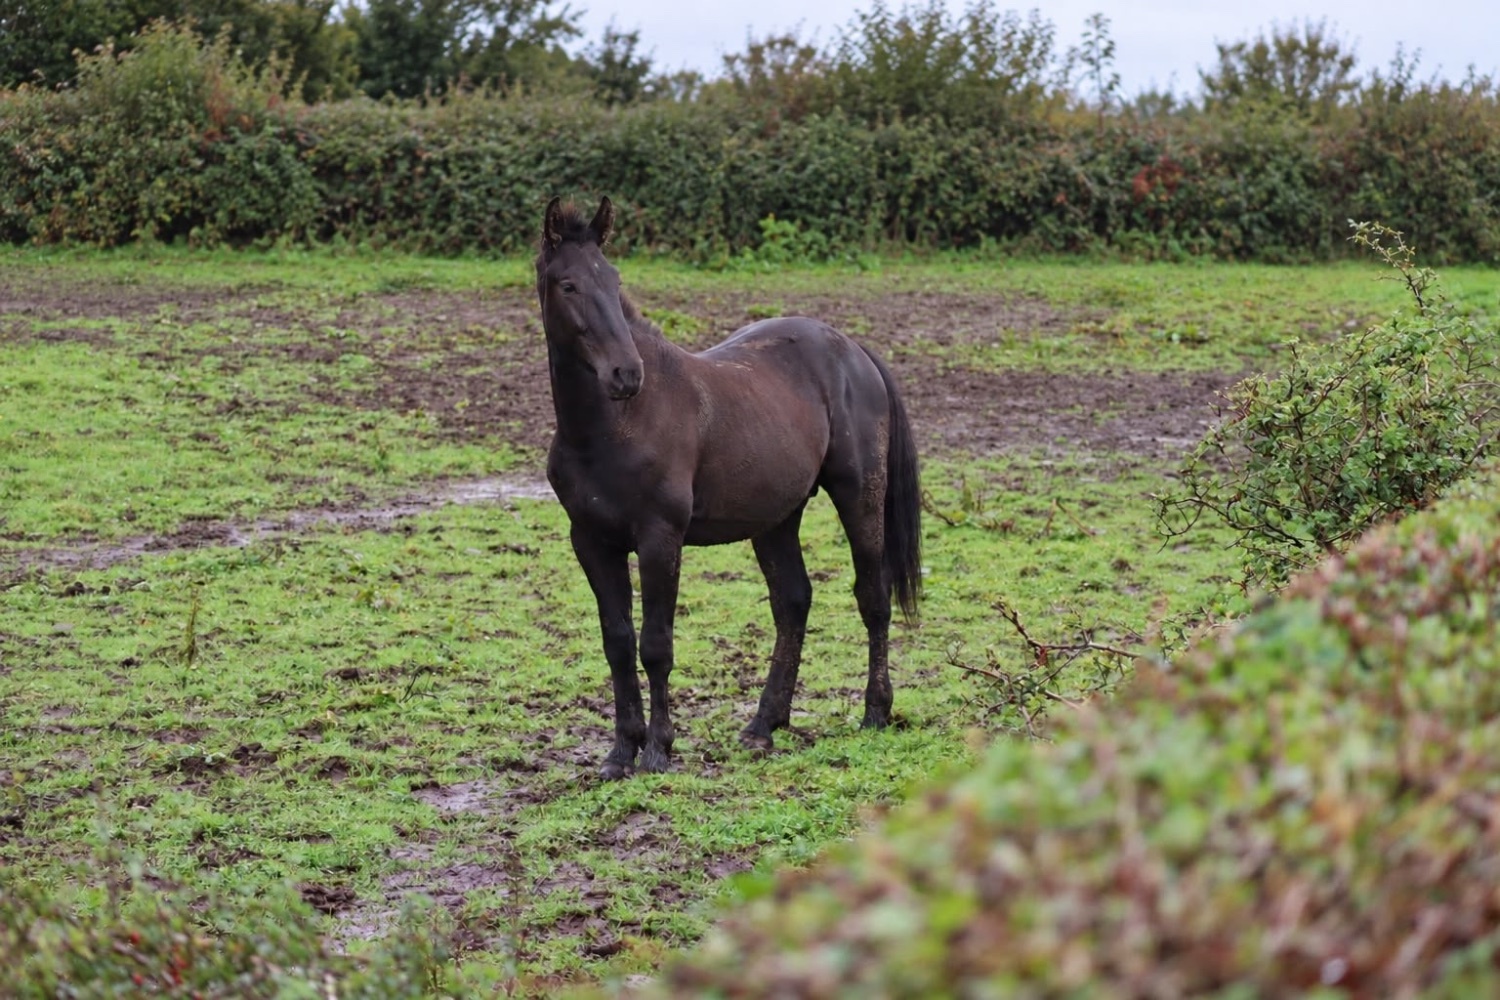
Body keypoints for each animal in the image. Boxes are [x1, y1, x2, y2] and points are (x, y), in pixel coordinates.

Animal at [535, 196, 921, 780]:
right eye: (568, 284)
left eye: (613, 278)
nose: (626, 374)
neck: (616, 425)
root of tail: (852, 350)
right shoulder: (591, 542)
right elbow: (617, 642)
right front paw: (620, 752)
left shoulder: (660, 540)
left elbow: (655, 645)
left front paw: (658, 750)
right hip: (777, 518)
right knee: (793, 601)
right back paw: (764, 724)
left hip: (860, 497)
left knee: (872, 597)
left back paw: (874, 712)